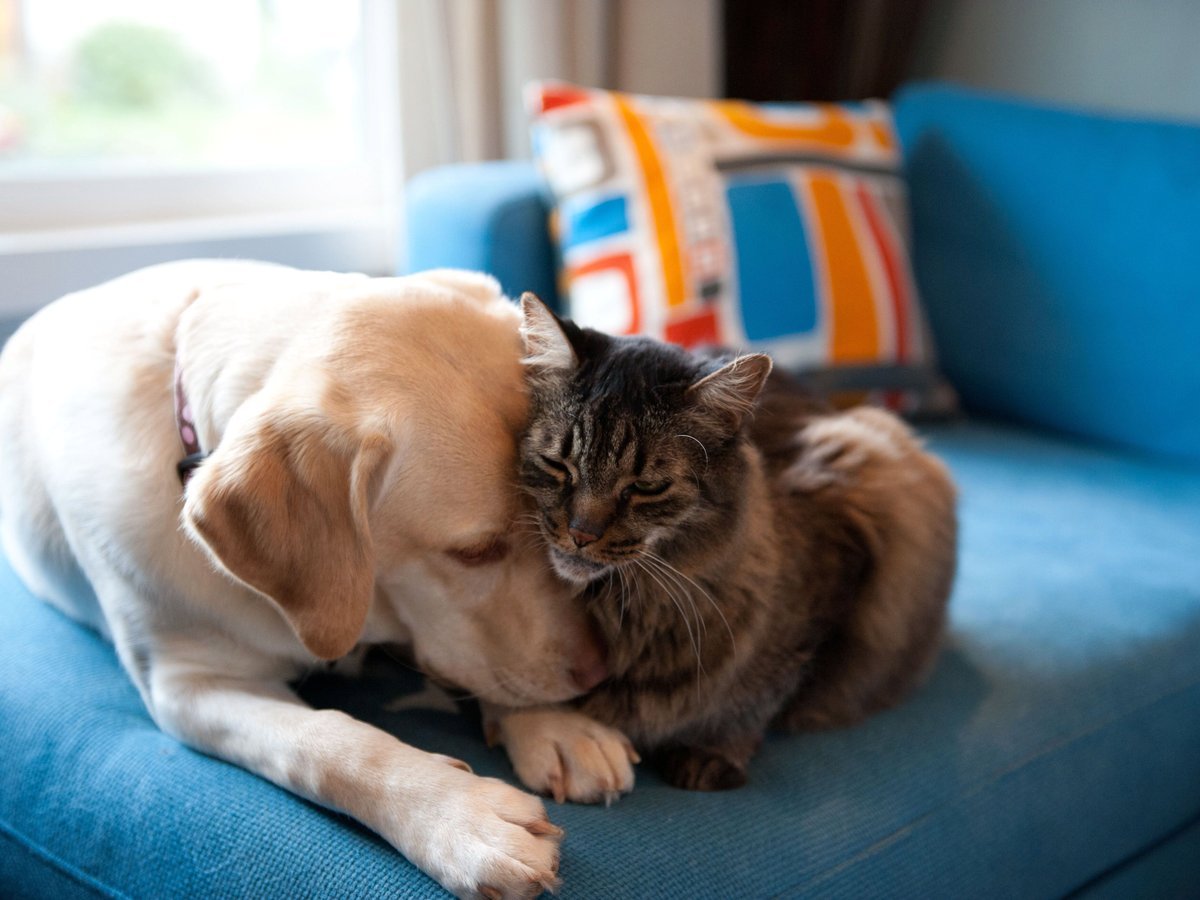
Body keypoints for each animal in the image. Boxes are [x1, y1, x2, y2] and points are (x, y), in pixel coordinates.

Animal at [2, 259, 609, 897]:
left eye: (552, 525)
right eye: (475, 551)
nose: (600, 671)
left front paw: (555, 727)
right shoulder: (187, 688)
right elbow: (326, 743)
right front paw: (459, 818)